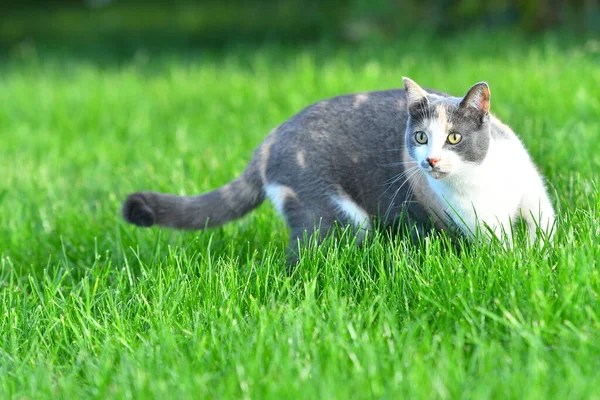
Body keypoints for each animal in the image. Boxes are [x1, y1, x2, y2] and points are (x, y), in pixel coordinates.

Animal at [123, 78, 556, 260]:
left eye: (453, 137)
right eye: (419, 138)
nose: (429, 161)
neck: (480, 181)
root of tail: (270, 139)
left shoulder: (531, 194)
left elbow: (544, 227)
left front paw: (543, 254)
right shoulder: (473, 224)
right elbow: (501, 250)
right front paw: (519, 263)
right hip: (327, 210)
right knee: (303, 254)